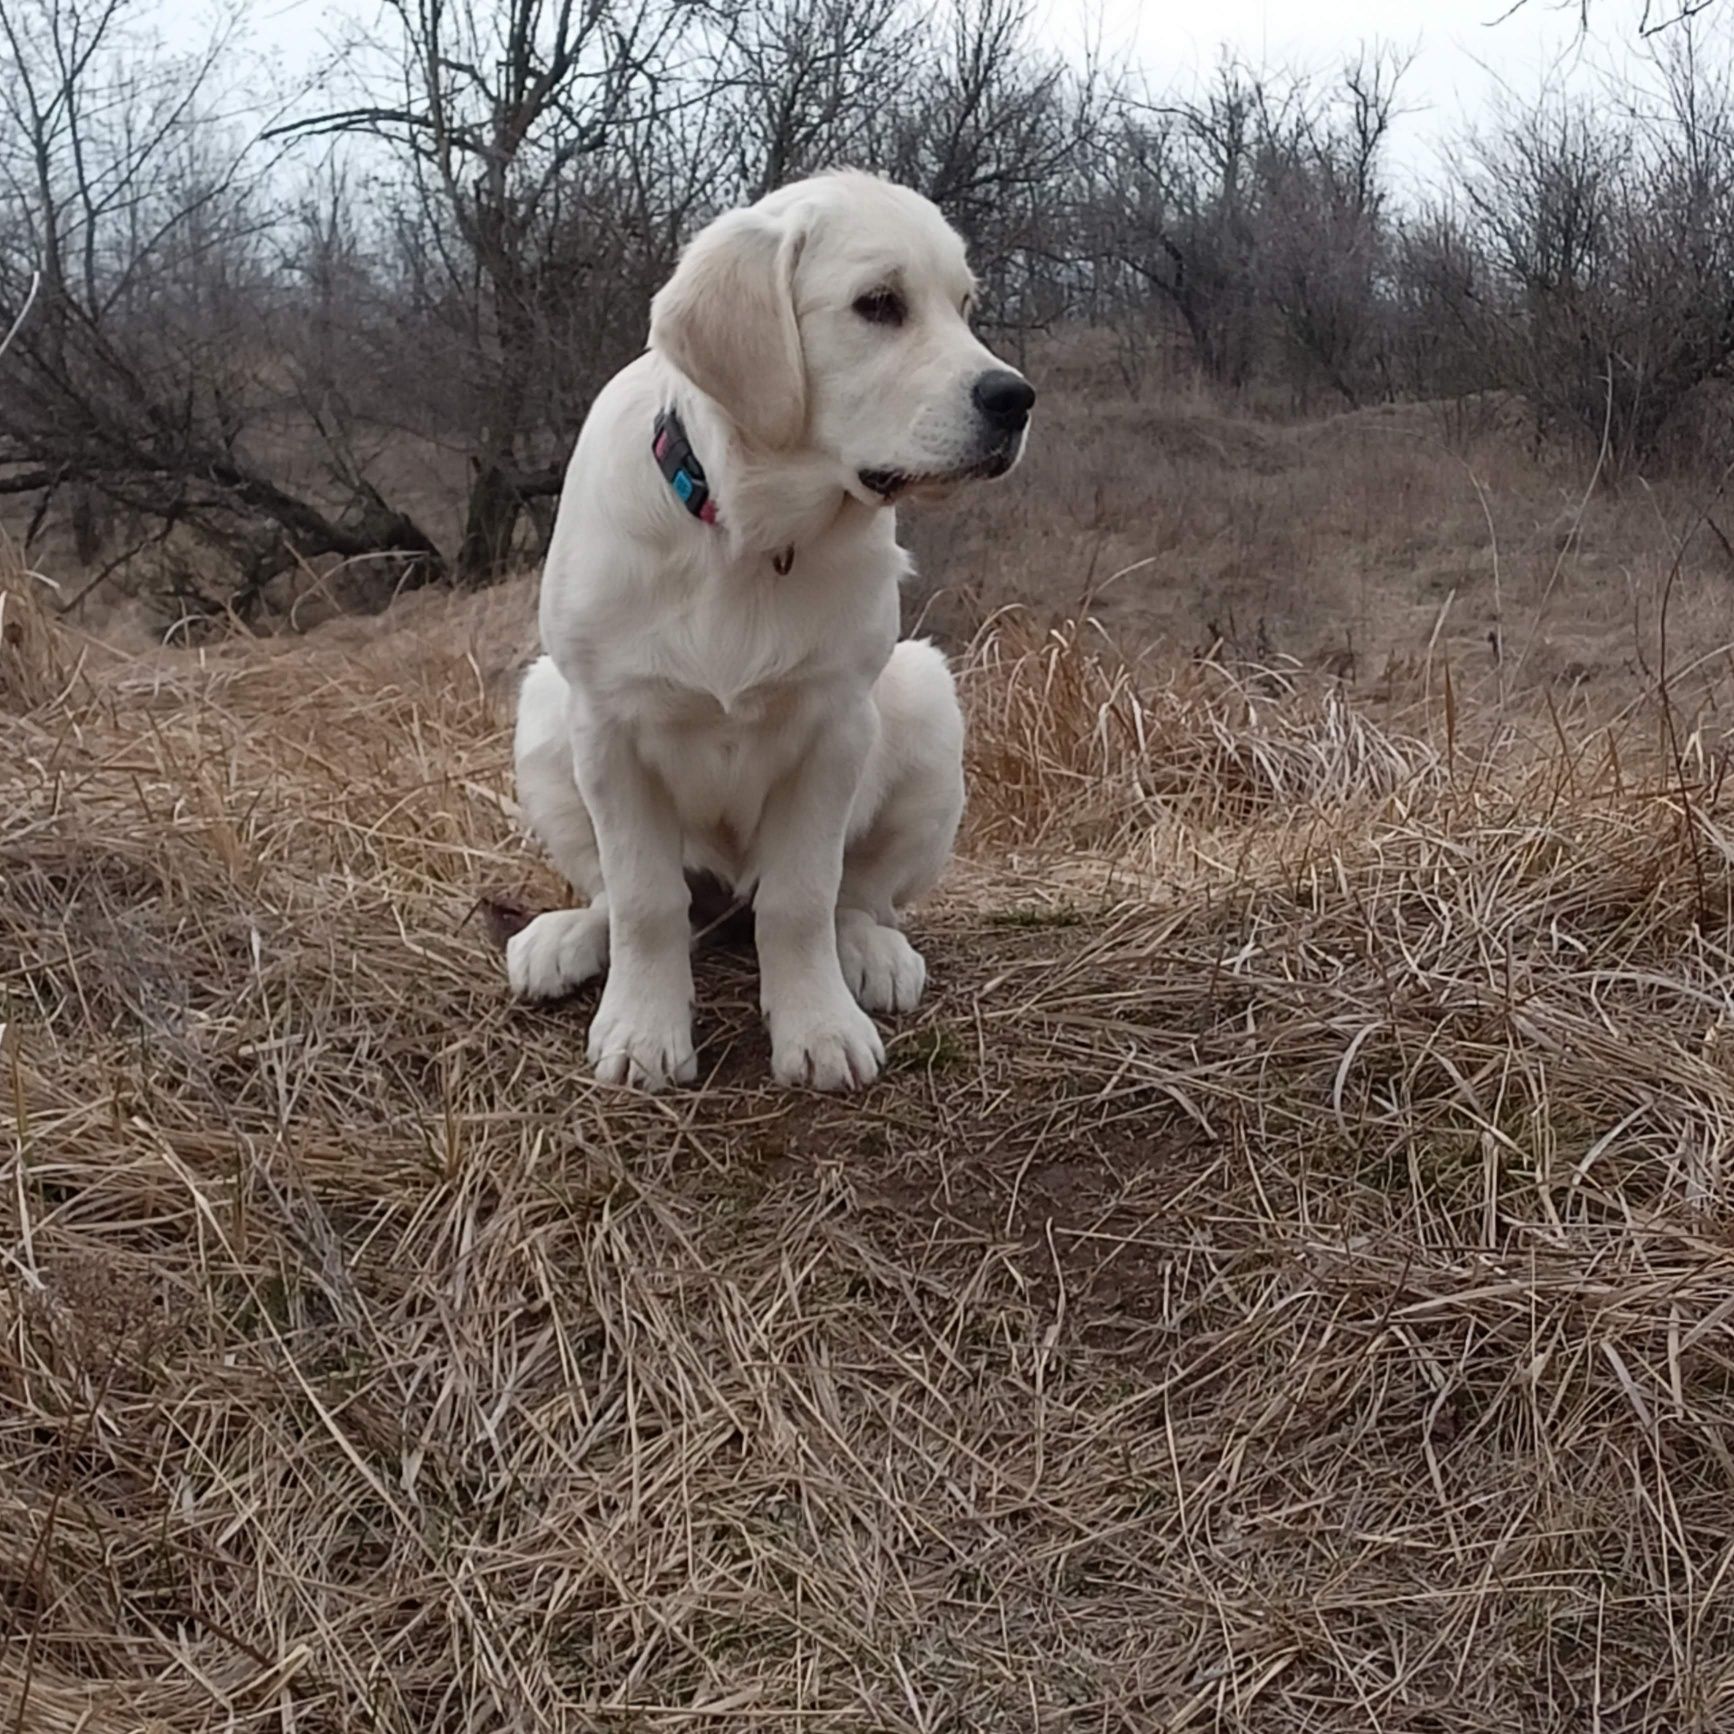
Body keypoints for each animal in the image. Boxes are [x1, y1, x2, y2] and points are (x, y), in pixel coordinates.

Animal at [506, 169, 1033, 1088]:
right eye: (879, 304)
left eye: (965, 305)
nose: (1016, 399)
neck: (750, 537)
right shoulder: (606, 724)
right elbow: (644, 899)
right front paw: (642, 1030)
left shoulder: (835, 728)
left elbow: (800, 898)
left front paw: (819, 1026)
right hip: (543, 712)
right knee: (626, 894)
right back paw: (565, 937)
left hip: (926, 701)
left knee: (856, 895)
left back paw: (870, 952)